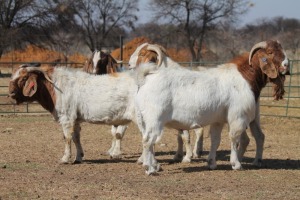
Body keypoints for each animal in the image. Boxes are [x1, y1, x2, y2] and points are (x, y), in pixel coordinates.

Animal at [134, 40, 288, 175]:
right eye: (270, 52)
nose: (286, 65)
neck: (244, 77)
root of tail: (146, 79)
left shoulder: (218, 120)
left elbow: (215, 139)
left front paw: (211, 163)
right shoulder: (237, 117)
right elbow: (234, 138)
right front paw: (236, 164)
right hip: (154, 120)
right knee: (148, 141)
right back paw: (150, 168)